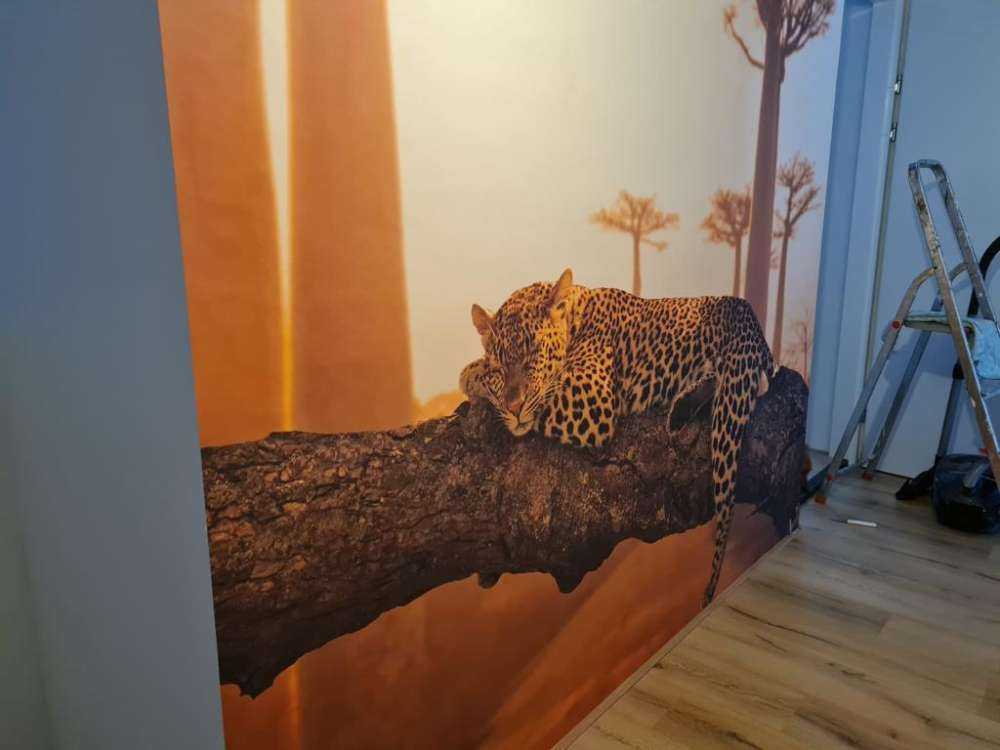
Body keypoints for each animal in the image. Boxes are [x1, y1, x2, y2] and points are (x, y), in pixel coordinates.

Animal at [459, 268, 775, 606]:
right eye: (501, 367)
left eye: (533, 357)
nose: (514, 407)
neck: (577, 312)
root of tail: (750, 319)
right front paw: (479, 373)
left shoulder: (588, 395)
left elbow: (539, 393)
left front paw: (473, 375)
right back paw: (684, 404)